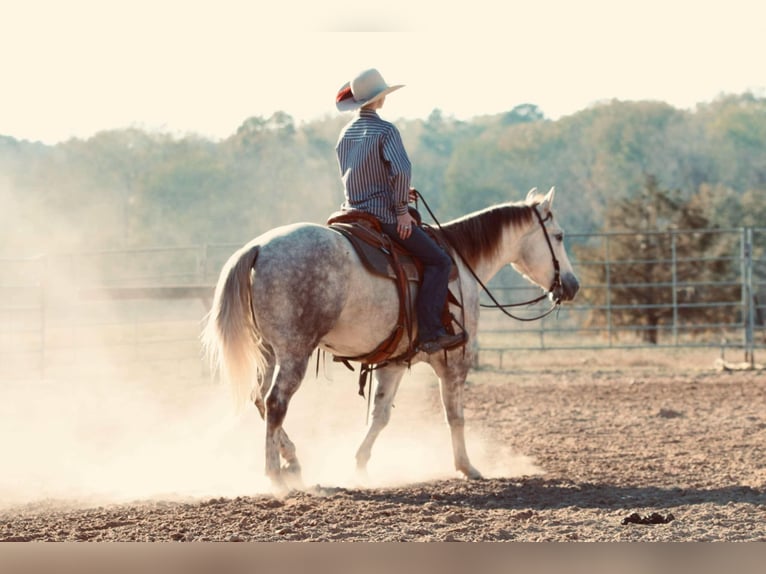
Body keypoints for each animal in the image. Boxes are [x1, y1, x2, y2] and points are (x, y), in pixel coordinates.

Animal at [204, 188, 584, 496]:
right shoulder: (454, 359)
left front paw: (360, 465)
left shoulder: (396, 360)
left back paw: (292, 462)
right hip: (294, 352)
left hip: (268, 353)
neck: (459, 262)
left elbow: (381, 415)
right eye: (560, 235)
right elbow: (454, 415)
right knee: (276, 403)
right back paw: (275, 476)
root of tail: (257, 248)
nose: (572, 285)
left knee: (259, 399)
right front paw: (467, 467)